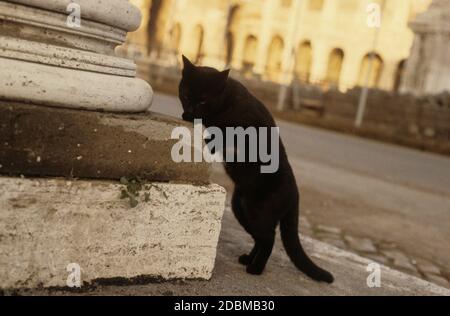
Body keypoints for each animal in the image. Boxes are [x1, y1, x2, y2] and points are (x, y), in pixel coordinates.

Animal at [179, 55, 334, 284]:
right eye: (187, 95)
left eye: (204, 100)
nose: (190, 111)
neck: (226, 103)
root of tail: (296, 194)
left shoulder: (246, 130)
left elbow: (223, 135)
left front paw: (209, 142)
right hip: (240, 208)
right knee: (260, 239)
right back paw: (248, 259)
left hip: (258, 212)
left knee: (269, 239)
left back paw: (256, 269)